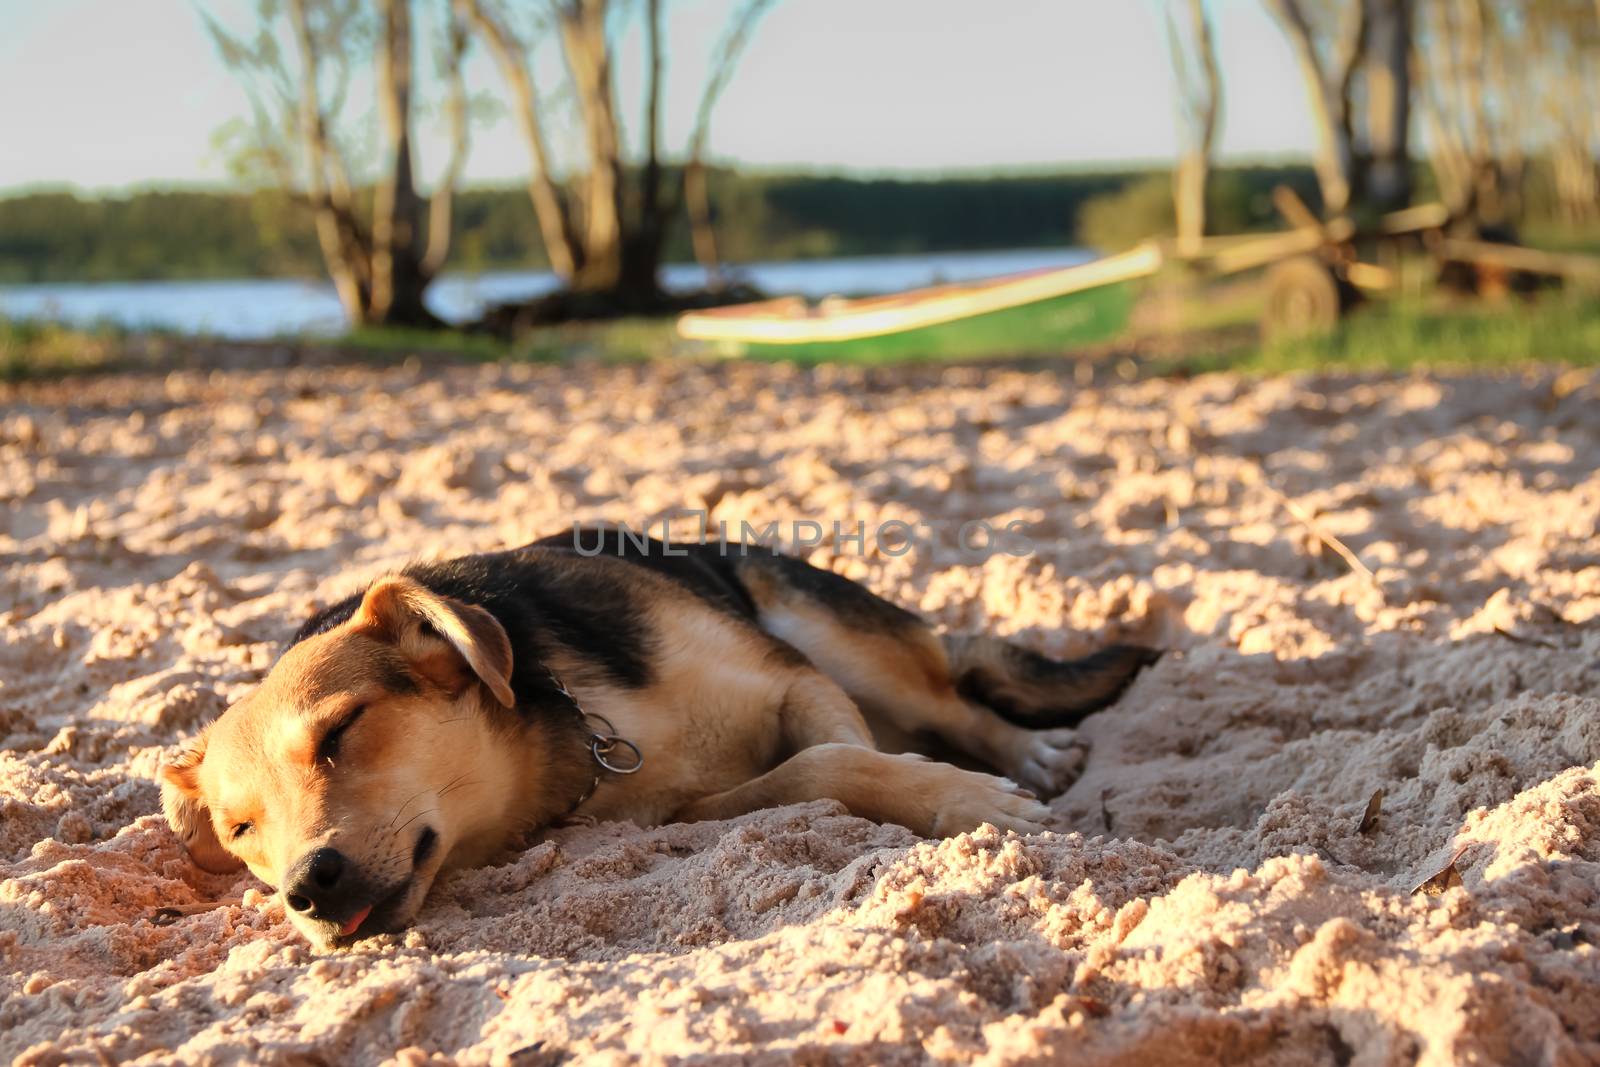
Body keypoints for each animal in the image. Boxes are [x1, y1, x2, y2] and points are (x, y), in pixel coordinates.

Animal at [162, 534, 1158, 953]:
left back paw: (1029, 754)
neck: (574, 730)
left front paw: (967, 795)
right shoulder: (684, 808)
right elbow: (820, 769)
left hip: (831, 628)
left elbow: (847, 752)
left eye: (342, 729)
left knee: (956, 697)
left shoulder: (796, 677)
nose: (307, 888)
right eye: (242, 830)